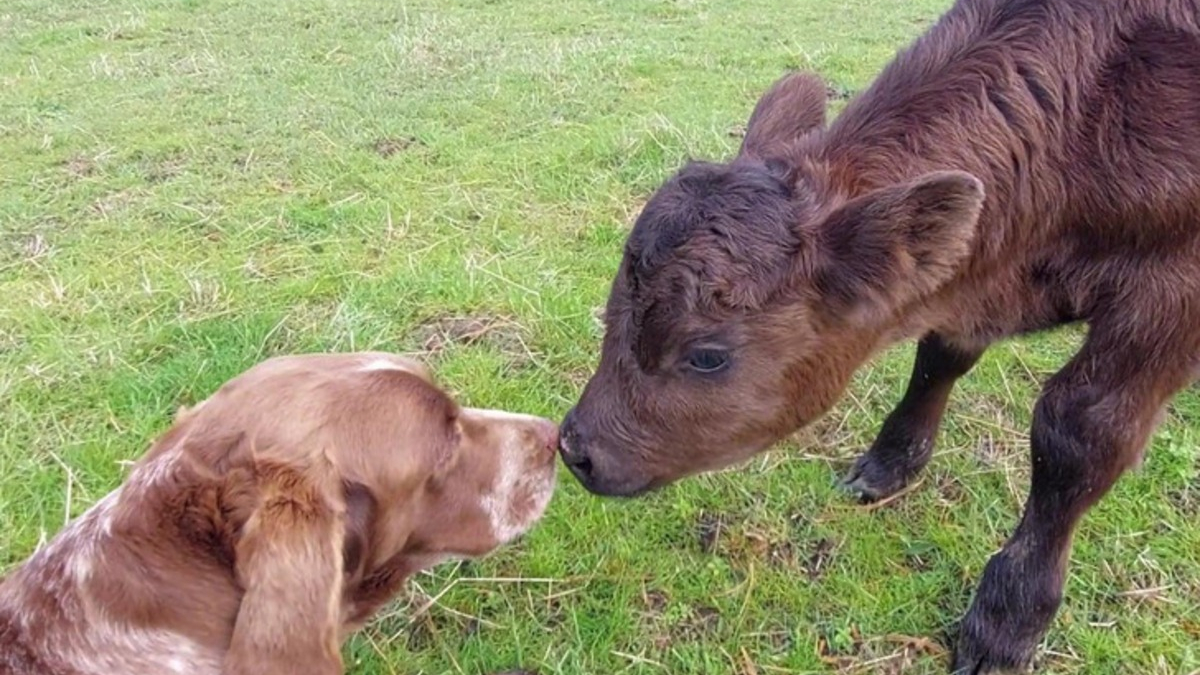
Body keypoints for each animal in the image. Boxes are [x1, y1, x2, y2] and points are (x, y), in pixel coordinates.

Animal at [556, 0, 1200, 667]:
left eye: (707, 356)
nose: (575, 448)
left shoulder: (1171, 294)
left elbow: (1077, 435)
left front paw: (1006, 621)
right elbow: (940, 356)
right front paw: (888, 465)